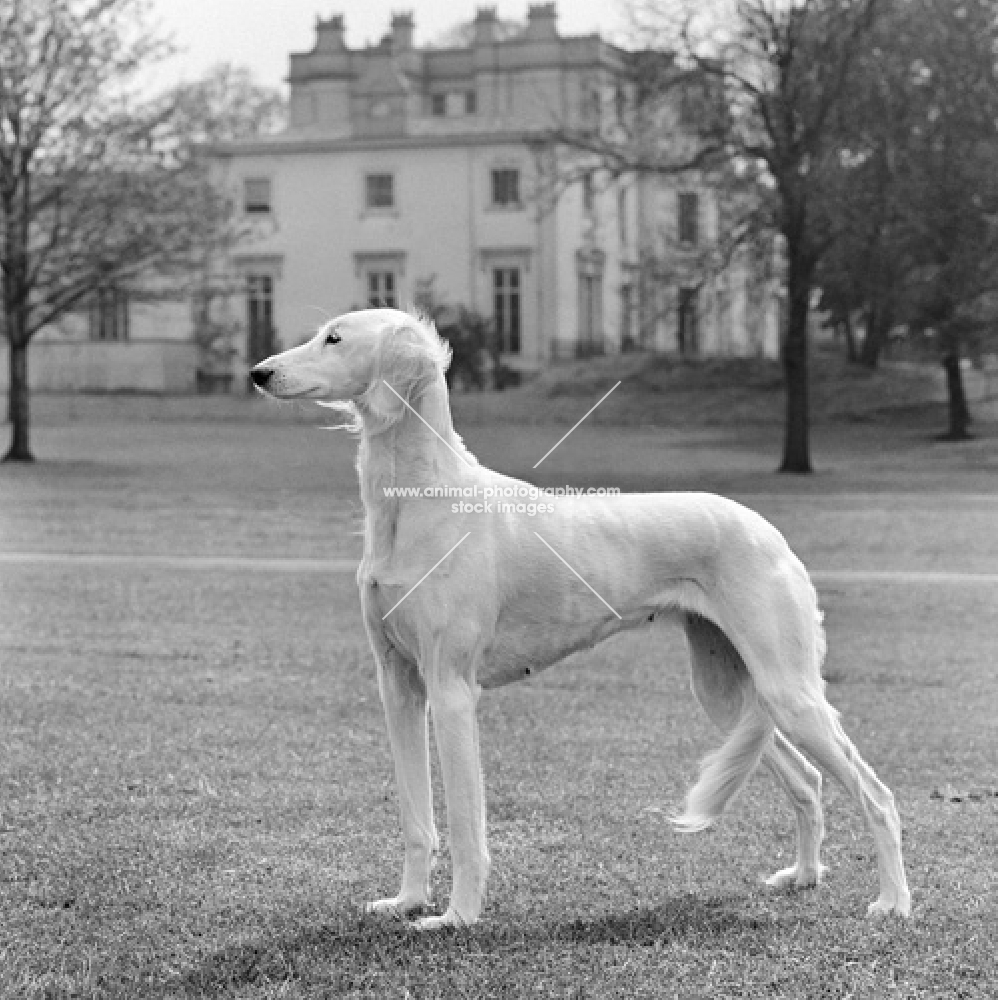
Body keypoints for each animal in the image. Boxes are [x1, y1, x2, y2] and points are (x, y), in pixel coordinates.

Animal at [252, 310, 916, 928]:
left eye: (336, 339)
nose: (258, 373)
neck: (423, 501)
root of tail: (767, 529)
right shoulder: (399, 686)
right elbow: (417, 820)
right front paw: (407, 902)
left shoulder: (451, 690)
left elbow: (466, 826)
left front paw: (456, 918)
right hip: (728, 694)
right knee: (807, 783)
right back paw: (802, 876)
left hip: (788, 690)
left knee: (878, 796)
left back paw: (893, 903)